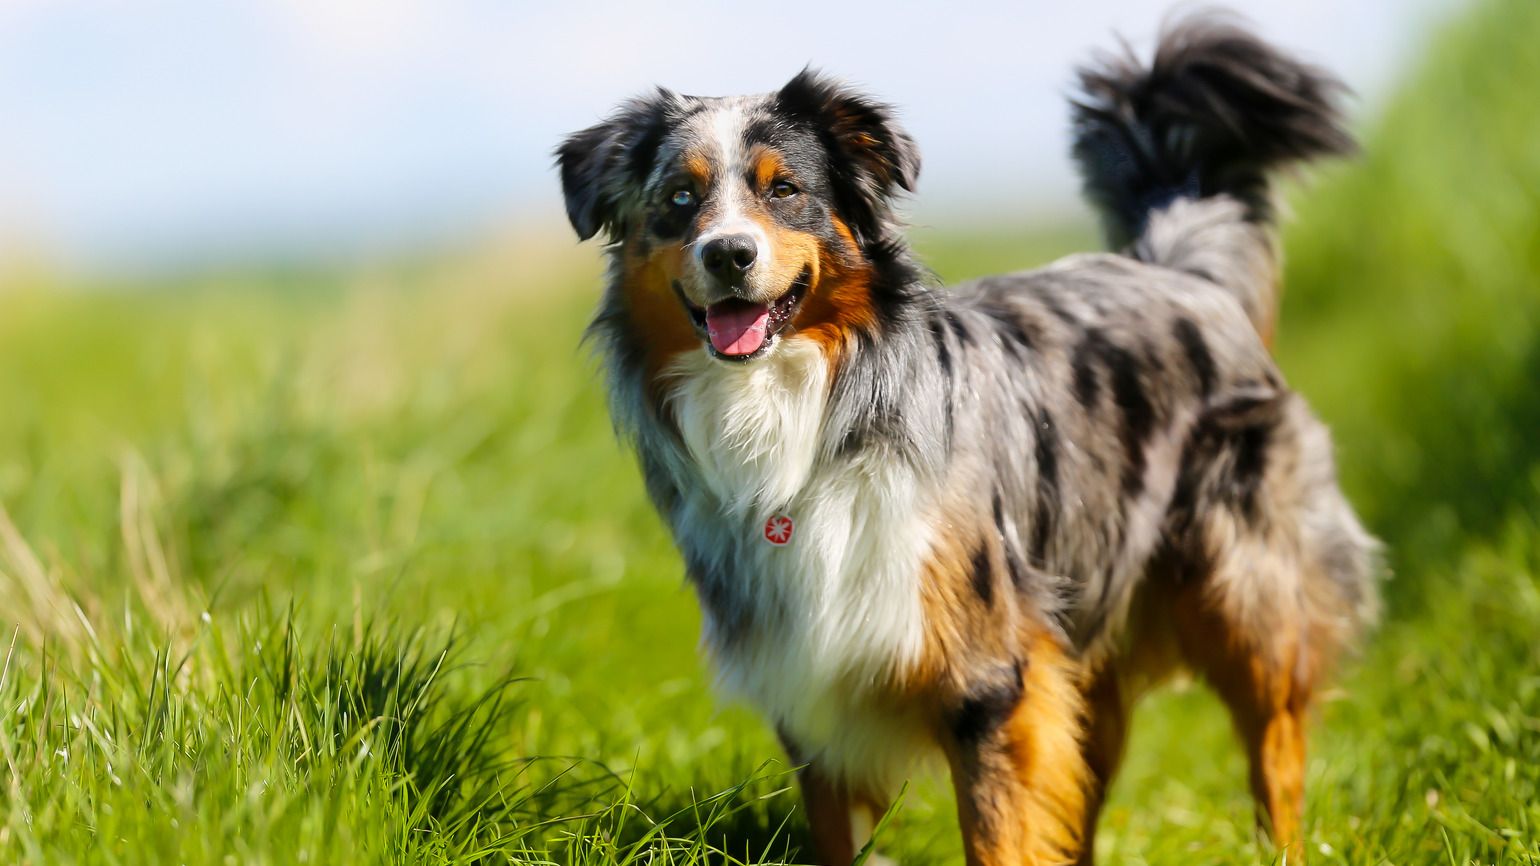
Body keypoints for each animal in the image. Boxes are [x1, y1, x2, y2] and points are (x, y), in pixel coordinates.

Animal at [560, 15, 1379, 862]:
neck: (801, 416)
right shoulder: (814, 693)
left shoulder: (989, 677)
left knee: (1274, 750)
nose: (728, 253)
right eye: (680, 198)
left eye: (783, 190)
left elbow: (998, 835)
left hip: (1247, 600)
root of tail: (1186, 274)